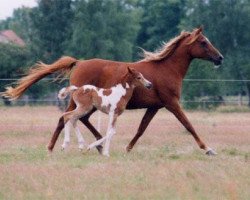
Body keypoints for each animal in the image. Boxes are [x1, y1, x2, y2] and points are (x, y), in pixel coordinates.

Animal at [2, 27, 223, 155]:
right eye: (203, 42)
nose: (219, 58)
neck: (166, 69)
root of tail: (79, 62)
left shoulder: (155, 107)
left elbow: (141, 128)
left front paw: (127, 148)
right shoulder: (171, 103)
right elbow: (188, 125)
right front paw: (208, 149)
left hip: (90, 105)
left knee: (81, 119)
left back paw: (97, 145)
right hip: (79, 102)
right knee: (65, 118)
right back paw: (53, 147)